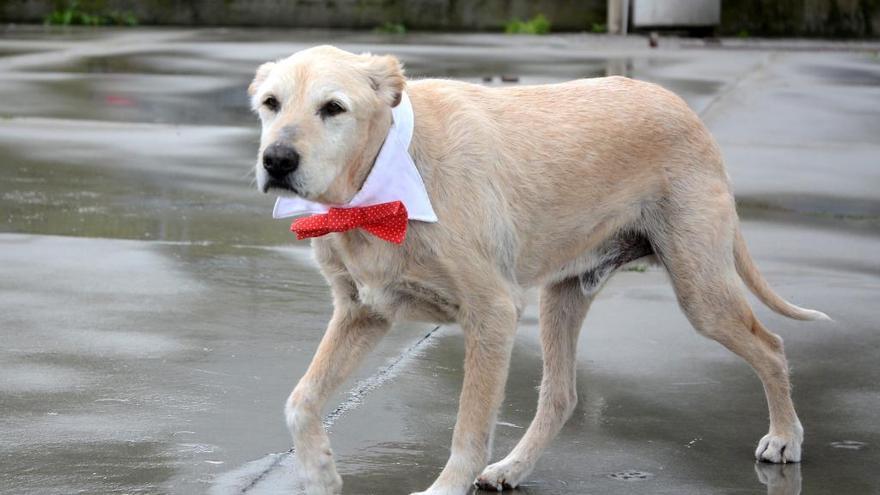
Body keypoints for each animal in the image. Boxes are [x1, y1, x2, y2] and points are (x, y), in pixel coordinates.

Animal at [249, 44, 832, 494]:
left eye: (334, 108)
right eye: (270, 104)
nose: (276, 161)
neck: (377, 187)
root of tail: (685, 111)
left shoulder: (492, 315)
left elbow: (469, 429)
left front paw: (445, 487)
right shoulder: (361, 314)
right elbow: (299, 401)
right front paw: (320, 473)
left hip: (701, 290)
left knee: (771, 347)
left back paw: (785, 437)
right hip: (565, 295)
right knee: (561, 395)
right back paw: (511, 468)